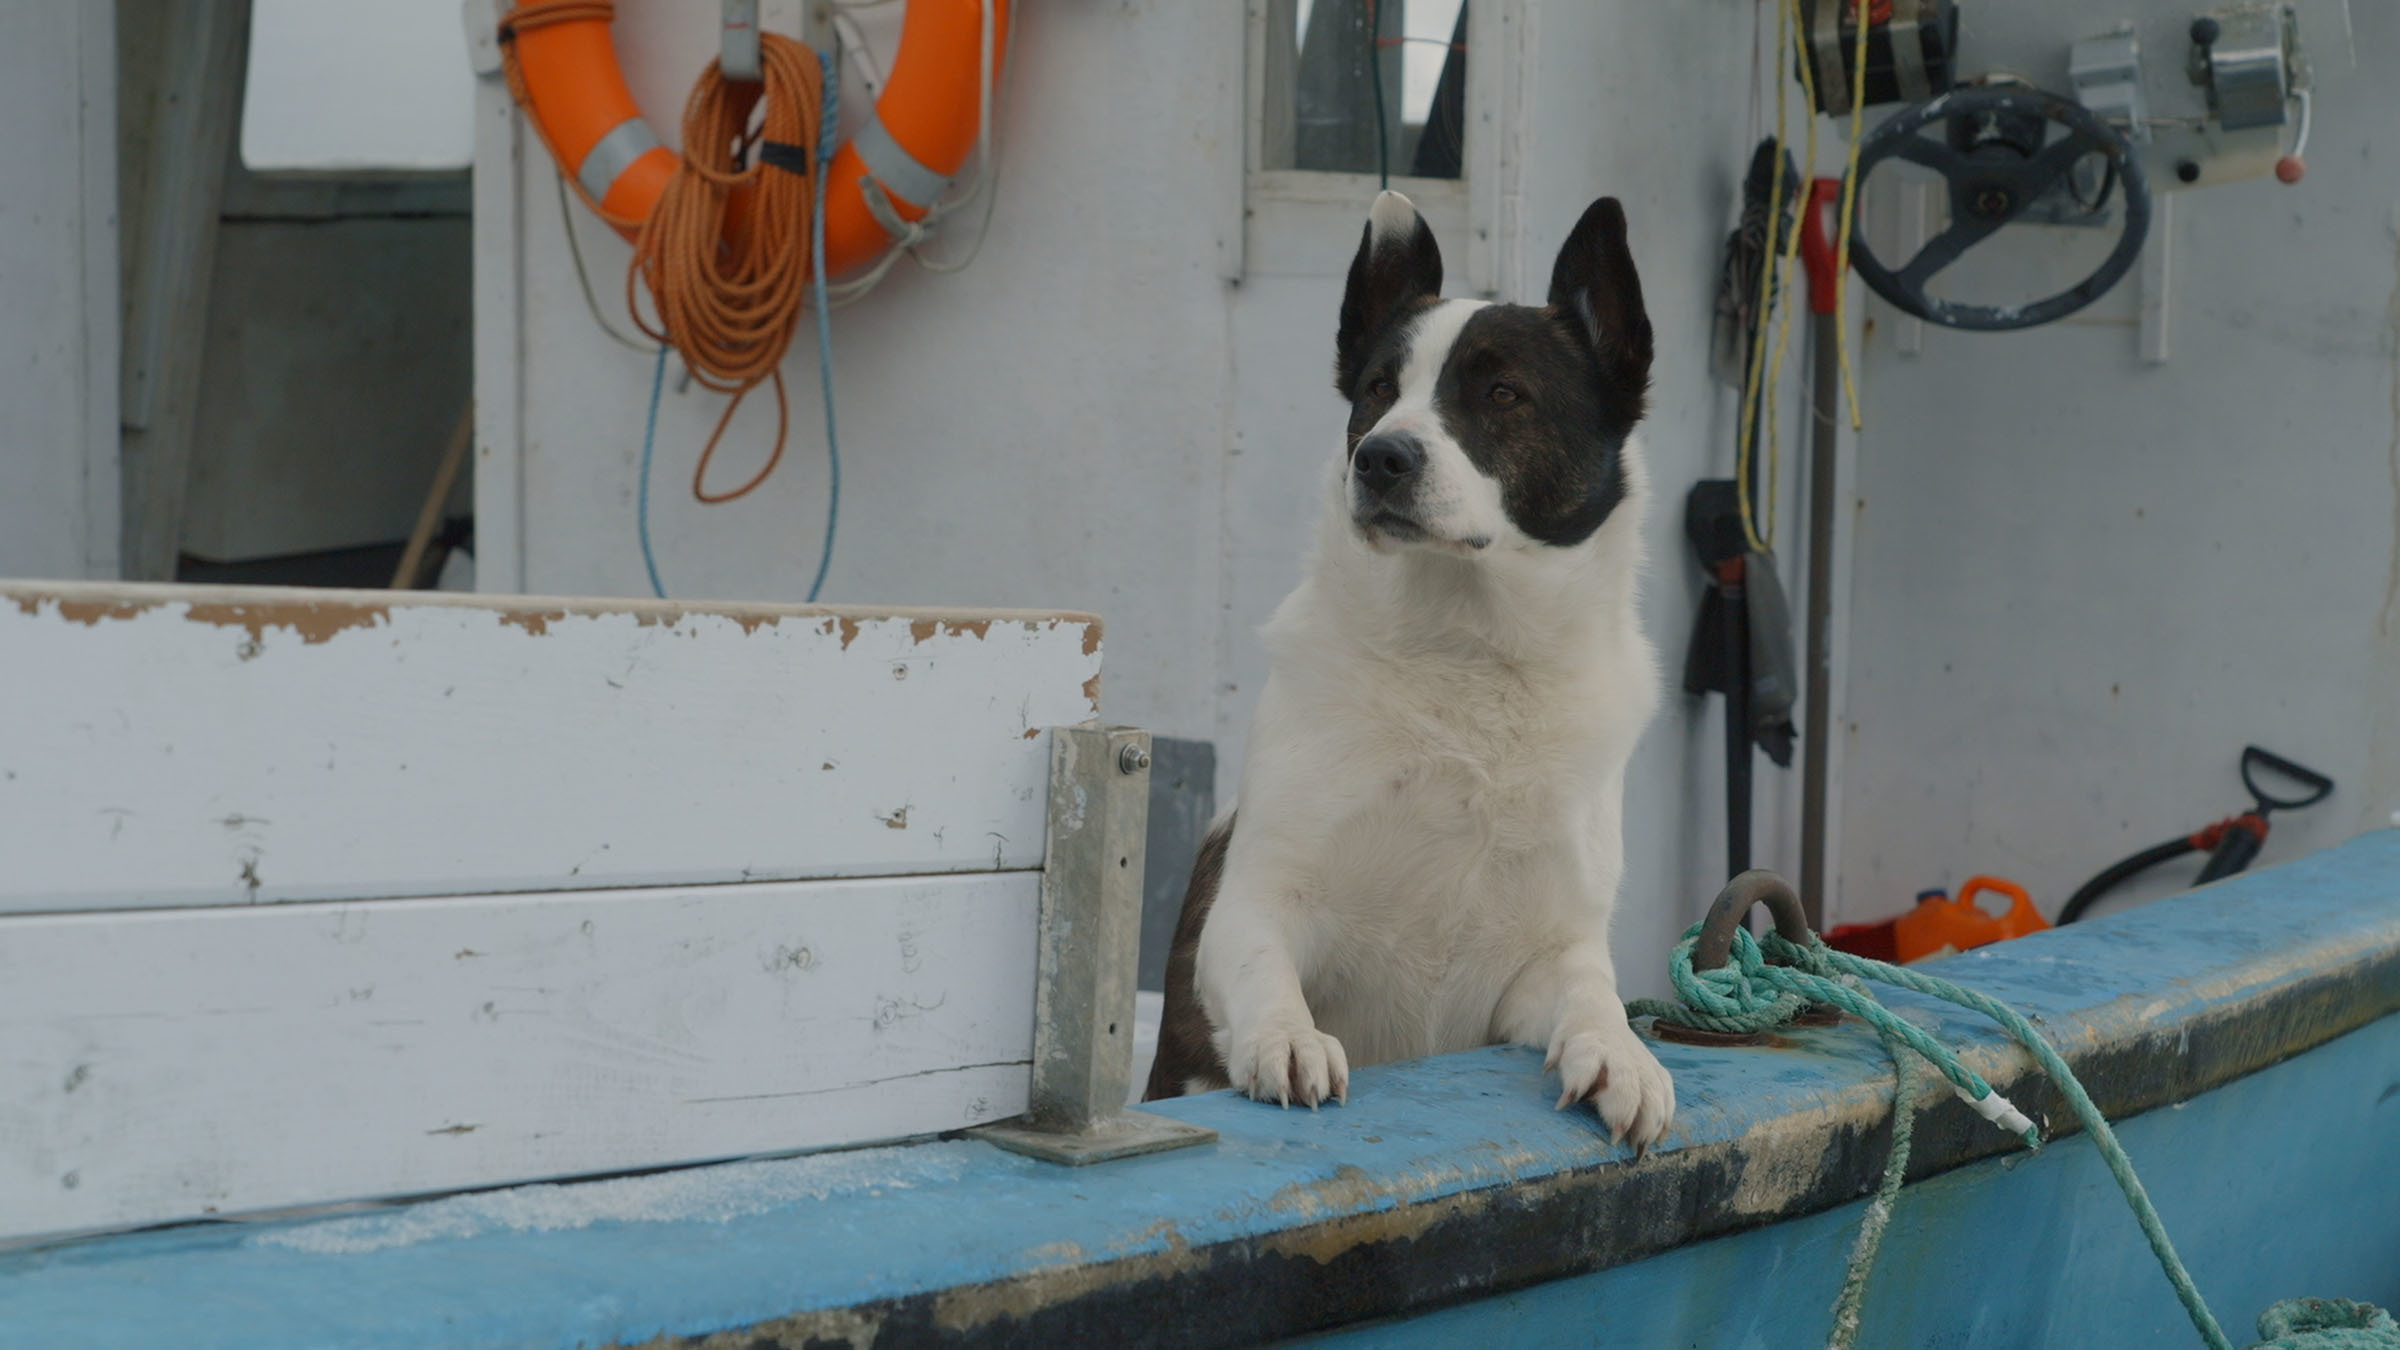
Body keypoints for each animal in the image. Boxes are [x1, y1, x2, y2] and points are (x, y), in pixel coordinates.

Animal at [1141, 191, 1675, 1148]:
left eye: (1502, 393)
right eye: (1378, 392)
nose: (1381, 458)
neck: (1464, 657)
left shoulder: (1548, 957)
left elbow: (1595, 997)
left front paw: (1624, 1056)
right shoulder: (1255, 900)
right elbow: (1264, 973)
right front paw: (1285, 1041)